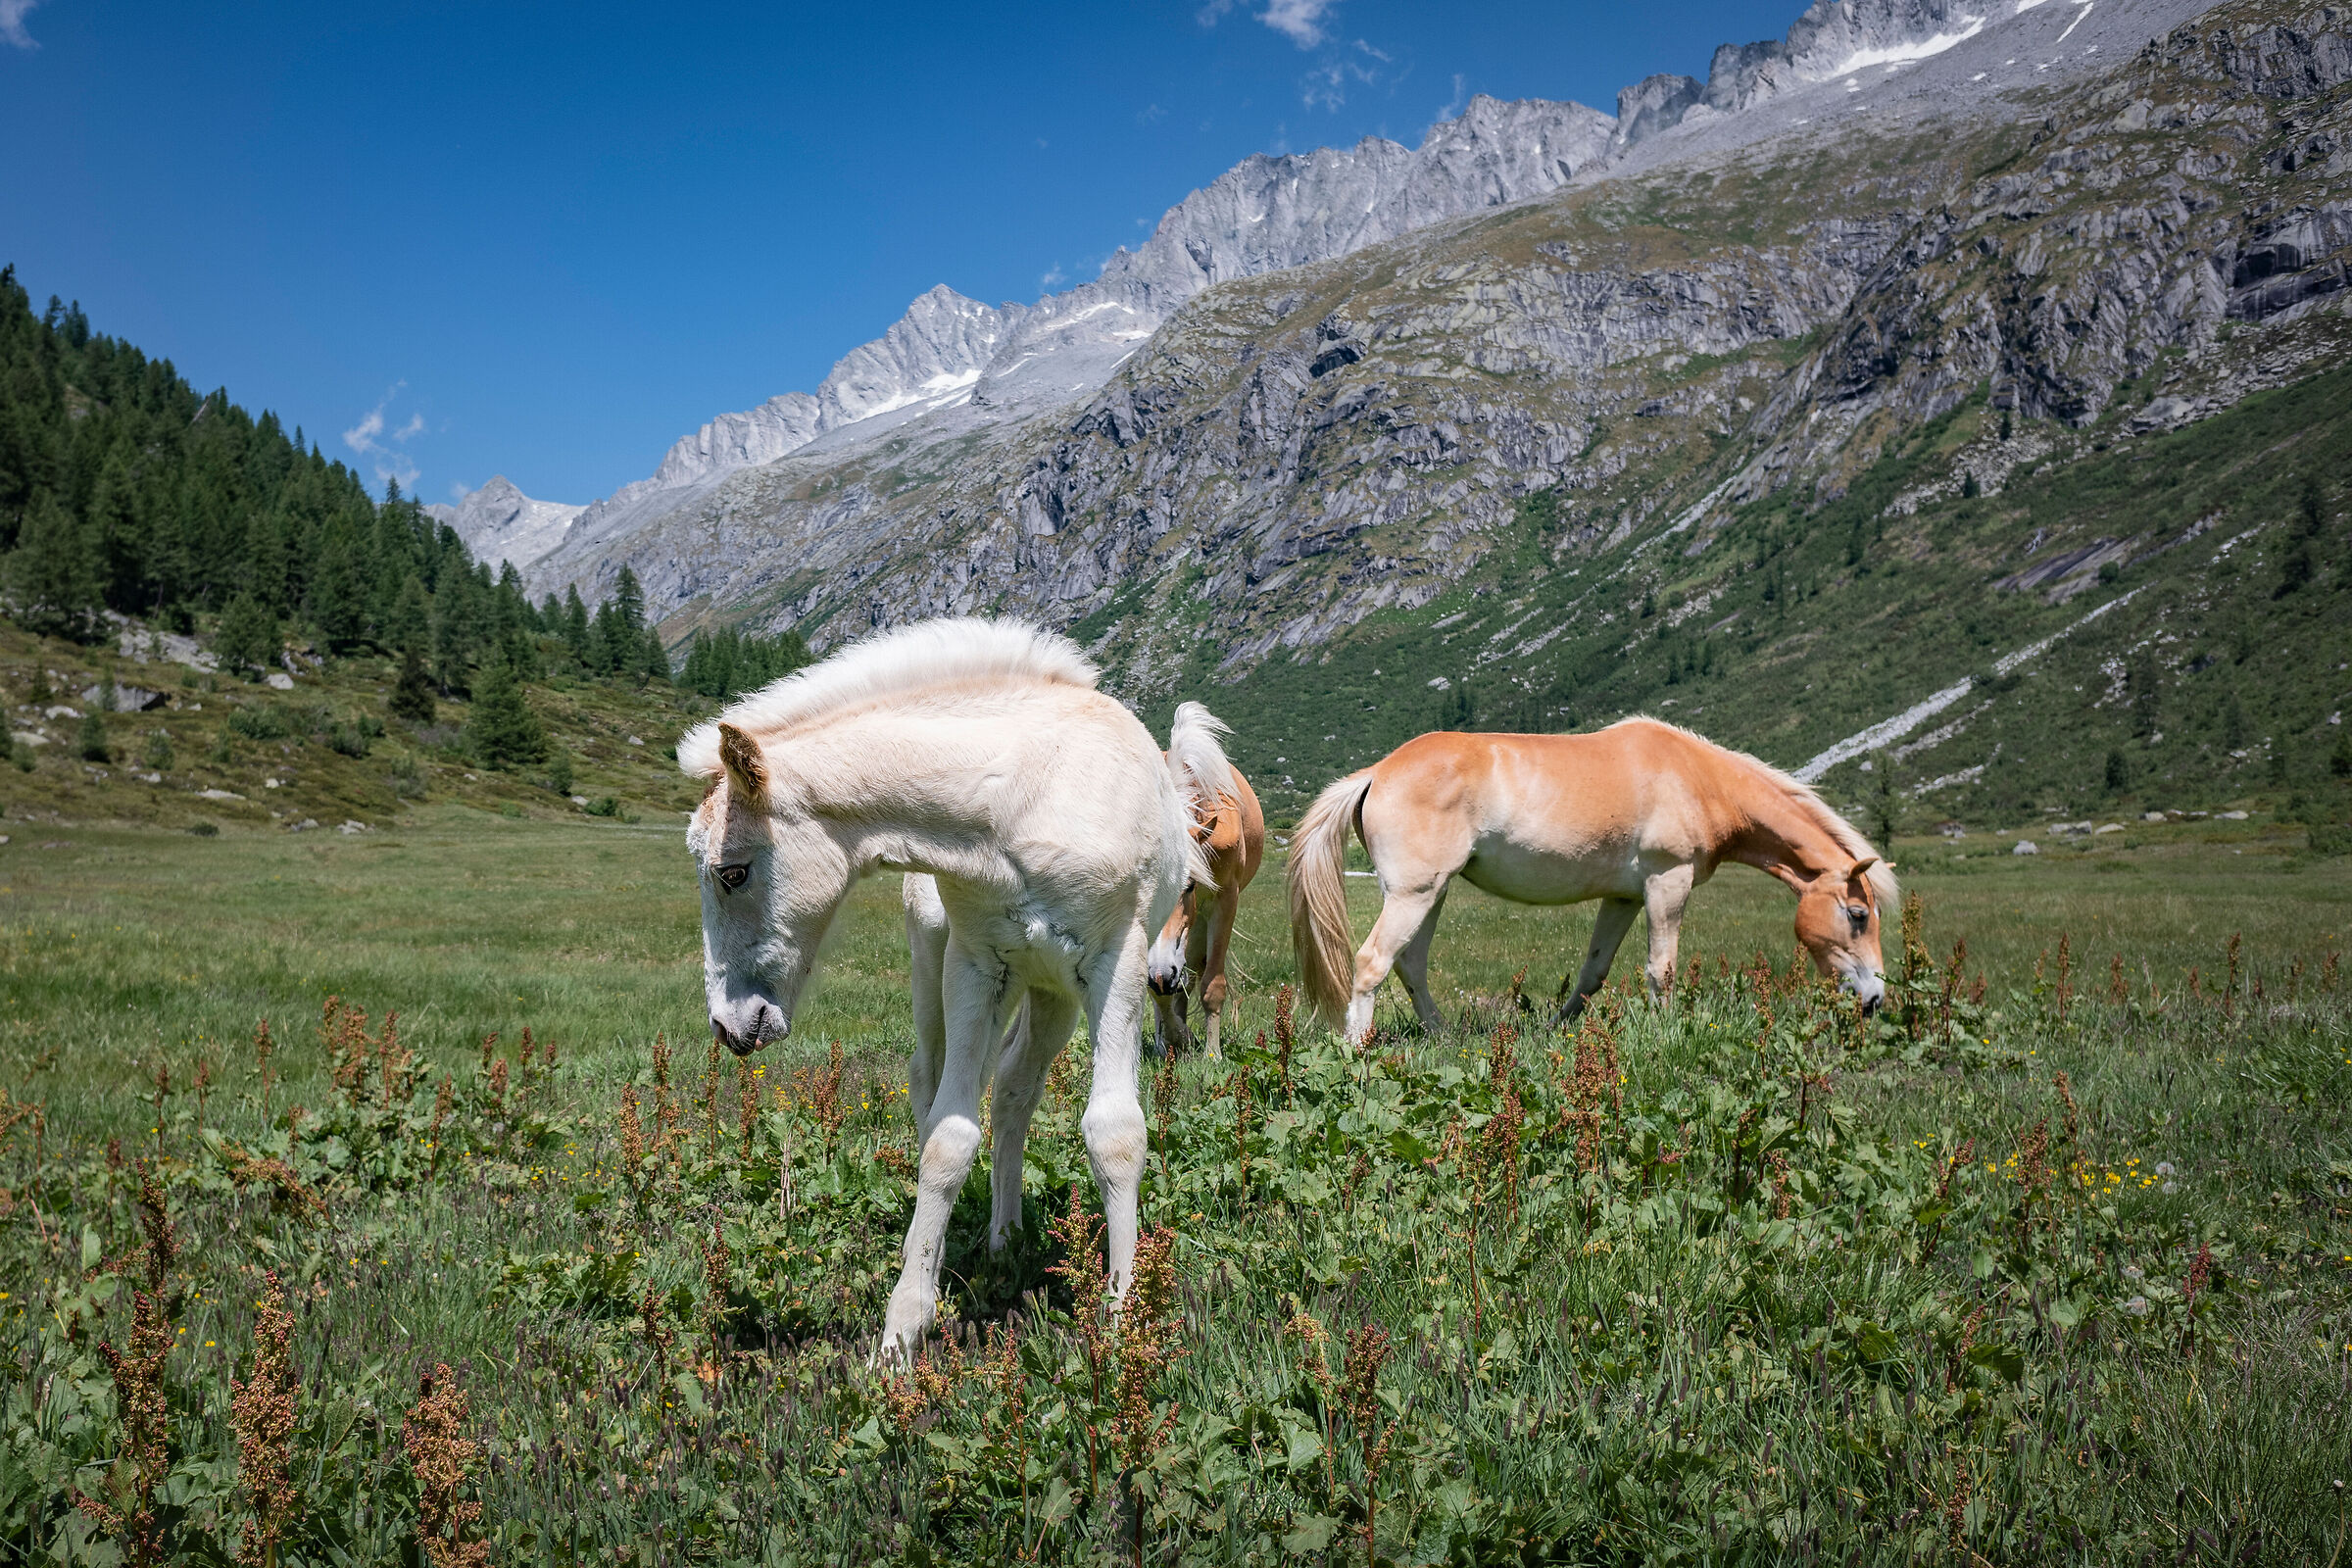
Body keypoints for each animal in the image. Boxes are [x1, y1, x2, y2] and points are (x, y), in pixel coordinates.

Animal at [680, 618, 1209, 1359]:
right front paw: (903, 1328)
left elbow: (1115, 1133)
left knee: (1015, 1088)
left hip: (1053, 991)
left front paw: (1123, 1316)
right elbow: (947, 1138)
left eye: (732, 872)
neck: (1024, 795)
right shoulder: (975, 964)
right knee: (933, 1082)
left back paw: (1006, 1238)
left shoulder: (1118, 963)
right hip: (942, 964)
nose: (731, 1026)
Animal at [1146, 702, 1265, 1059]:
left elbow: (1212, 983)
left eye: (1188, 886)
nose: (1161, 974)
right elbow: (1160, 989)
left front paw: (1212, 1054)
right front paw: (1175, 1039)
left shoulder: (1225, 901)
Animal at [1288, 717, 1896, 1041]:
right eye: (1857, 915)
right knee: (1372, 962)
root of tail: (1376, 773)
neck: (1697, 779)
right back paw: (1358, 1049)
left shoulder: (1624, 898)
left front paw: (1556, 1028)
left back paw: (1442, 1035)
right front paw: (1664, 1034)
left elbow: (1593, 973)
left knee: (1410, 963)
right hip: (1414, 895)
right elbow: (1661, 969)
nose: (1874, 999)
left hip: (1429, 893)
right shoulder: (1666, 884)